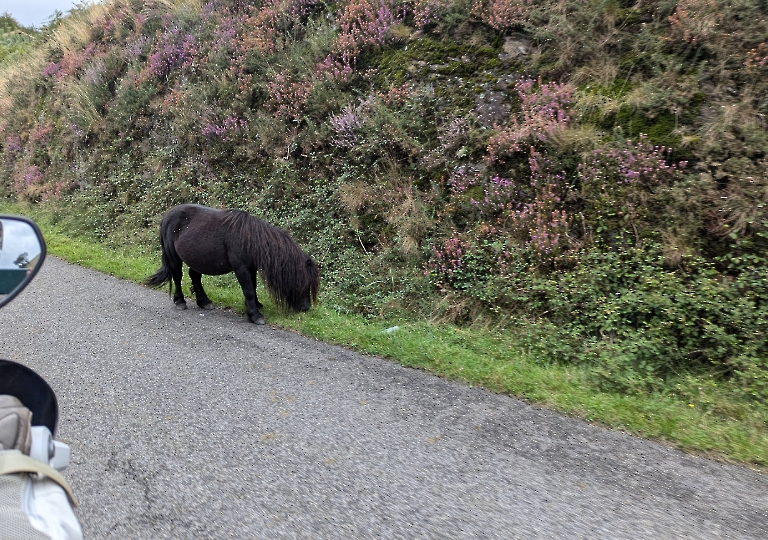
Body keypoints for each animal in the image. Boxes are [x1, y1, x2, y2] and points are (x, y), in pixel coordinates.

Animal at [147, 204, 318, 324]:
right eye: (303, 283)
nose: (306, 308)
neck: (250, 238)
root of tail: (167, 216)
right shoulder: (241, 268)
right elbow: (248, 290)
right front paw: (255, 315)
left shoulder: (251, 268)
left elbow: (253, 287)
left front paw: (254, 306)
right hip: (173, 256)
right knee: (177, 276)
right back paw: (180, 301)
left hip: (198, 259)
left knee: (194, 276)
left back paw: (204, 302)